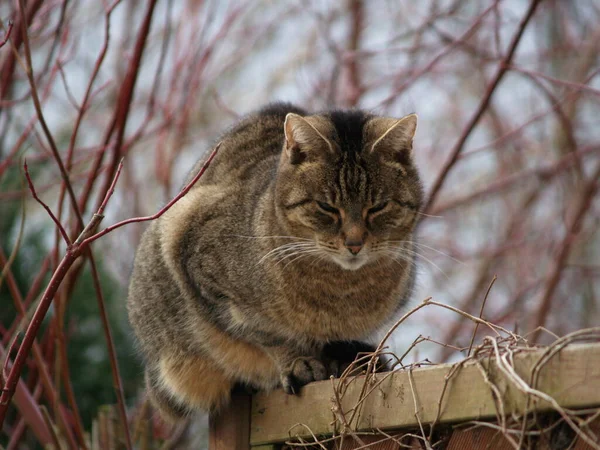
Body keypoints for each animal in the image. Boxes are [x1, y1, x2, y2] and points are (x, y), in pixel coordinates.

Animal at [126, 102, 422, 422]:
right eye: (326, 207)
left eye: (378, 207)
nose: (354, 243)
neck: (341, 289)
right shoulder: (196, 261)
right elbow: (266, 334)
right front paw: (297, 361)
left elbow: (331, 339)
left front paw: (341, 356)